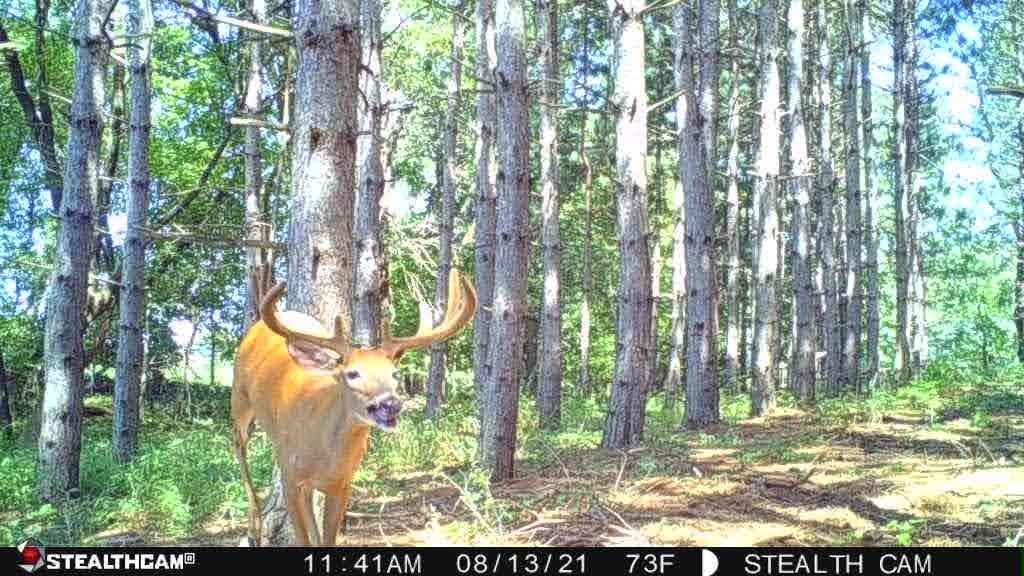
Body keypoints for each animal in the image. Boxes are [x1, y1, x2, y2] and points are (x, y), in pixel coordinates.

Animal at [231, 267, 476, 546]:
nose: (390, 404)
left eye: (394, 373)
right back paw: (253, 529)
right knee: (239, 447)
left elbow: (326, 538)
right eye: (352, 374)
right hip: (239, 399)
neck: (323, 450)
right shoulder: (289, 475)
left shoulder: (343, 483)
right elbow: (303, 537)